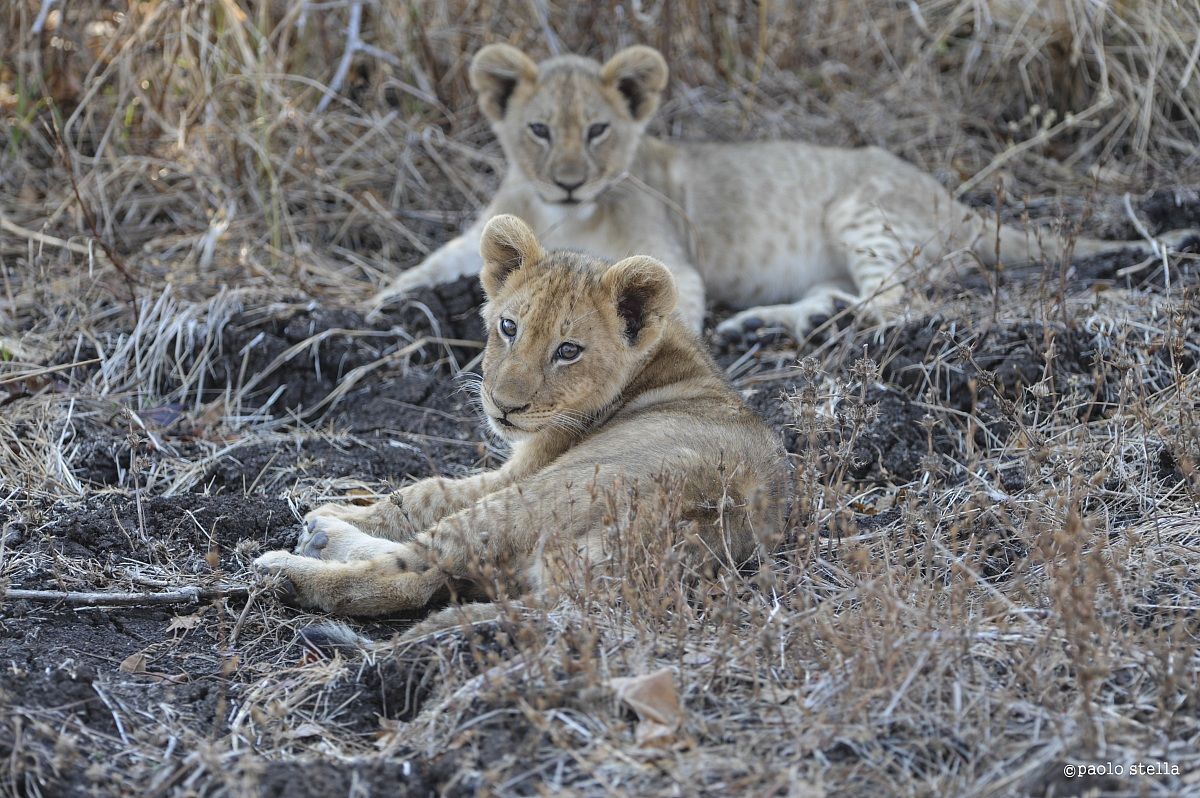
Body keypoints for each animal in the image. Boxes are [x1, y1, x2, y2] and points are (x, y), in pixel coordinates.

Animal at [253, 214, 788, 617]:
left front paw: (333, 510)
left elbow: (424, 493)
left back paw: (300, 558)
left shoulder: (523, 470)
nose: (504, 405)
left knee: (413, 572)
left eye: (568, 350)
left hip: (541, 494)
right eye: (508, 327)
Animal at [372, 44, 1196, 341]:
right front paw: (381, 303)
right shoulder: (490, 226)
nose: (571, 182)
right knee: (851, 298)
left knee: (898, 305)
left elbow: (670, 309)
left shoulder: (673, 259)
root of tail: (958, 205)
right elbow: (437, 258)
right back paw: (770, 326)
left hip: (860, 208)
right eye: (540, 131)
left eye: (600, 130)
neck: (558, 213)